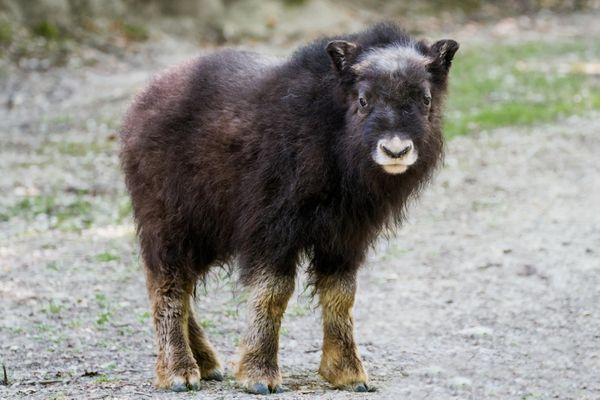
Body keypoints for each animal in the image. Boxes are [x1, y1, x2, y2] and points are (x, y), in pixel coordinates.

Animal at [120, 23, 460, 396]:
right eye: (363, 100)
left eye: (425, 99)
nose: (395, 150)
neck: (329, 130)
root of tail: (143, 101)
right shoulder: (273, 230)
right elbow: (274, 291)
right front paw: (259, 376)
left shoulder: (345, 236)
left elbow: (342, 293)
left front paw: (347, 373)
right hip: (171, 223)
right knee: (168, 283)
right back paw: (179, 373)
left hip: (207, 234)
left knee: (179, 284)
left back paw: (208, 364)